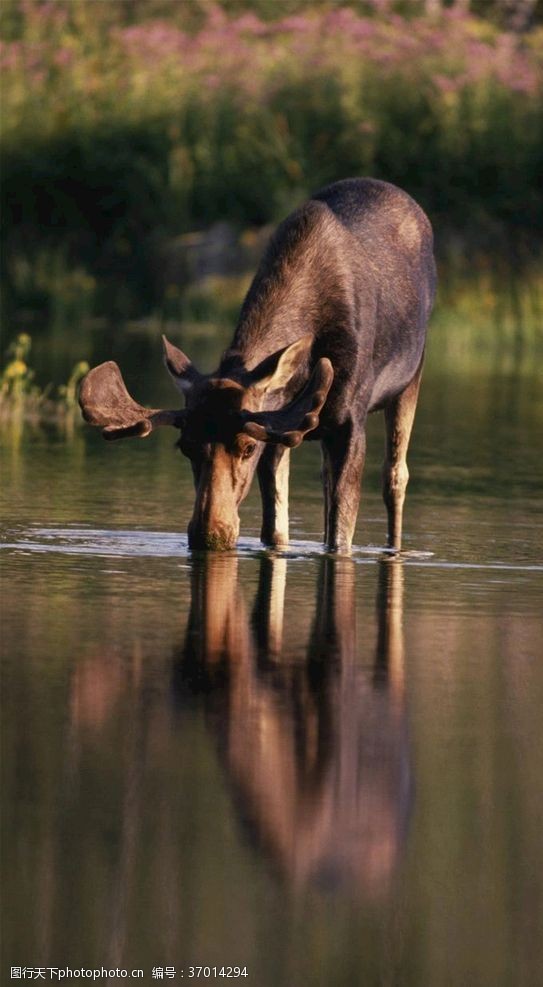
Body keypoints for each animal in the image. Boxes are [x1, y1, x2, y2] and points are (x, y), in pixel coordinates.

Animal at [81, 181, 438, 552]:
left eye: (247, 446)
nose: (210, 535)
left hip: (411, 376)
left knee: (395, 475)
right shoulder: (280, 428)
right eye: (186, 446)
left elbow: (341, 535)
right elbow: (276, 530)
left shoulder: (348, 423)